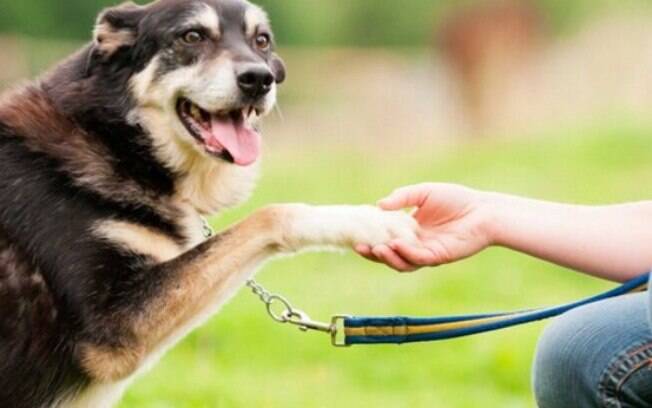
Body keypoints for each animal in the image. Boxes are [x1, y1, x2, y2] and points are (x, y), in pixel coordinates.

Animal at [0, 0, 418, 408]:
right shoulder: (114, 329)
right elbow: (269, 215)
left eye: (262, 40)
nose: (259, 79)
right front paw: (372, 222)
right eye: (191, 36)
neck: (117, 140)